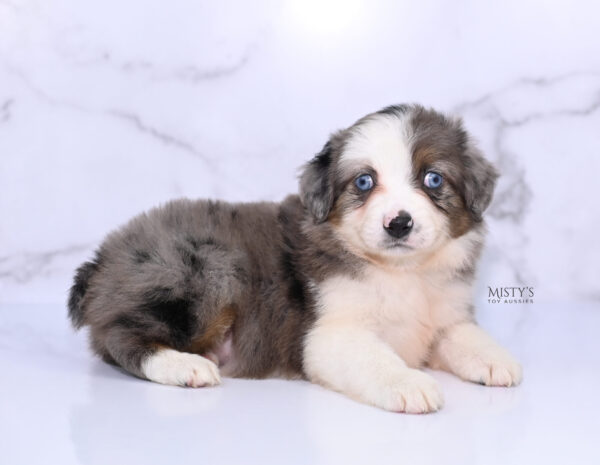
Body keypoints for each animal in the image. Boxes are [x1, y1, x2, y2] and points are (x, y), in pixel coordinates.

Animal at [69, 104, 520, 414]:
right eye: (364, 182)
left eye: (433, 179)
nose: (399, 224)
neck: (402, 273)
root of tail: (103, 258)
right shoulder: (327, 334)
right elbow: (376, 358)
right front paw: (409, 383)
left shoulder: (444, 315)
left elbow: (466, 336)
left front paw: (498, 361)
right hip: (206, 266)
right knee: (120, 338)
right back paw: (184, 366)